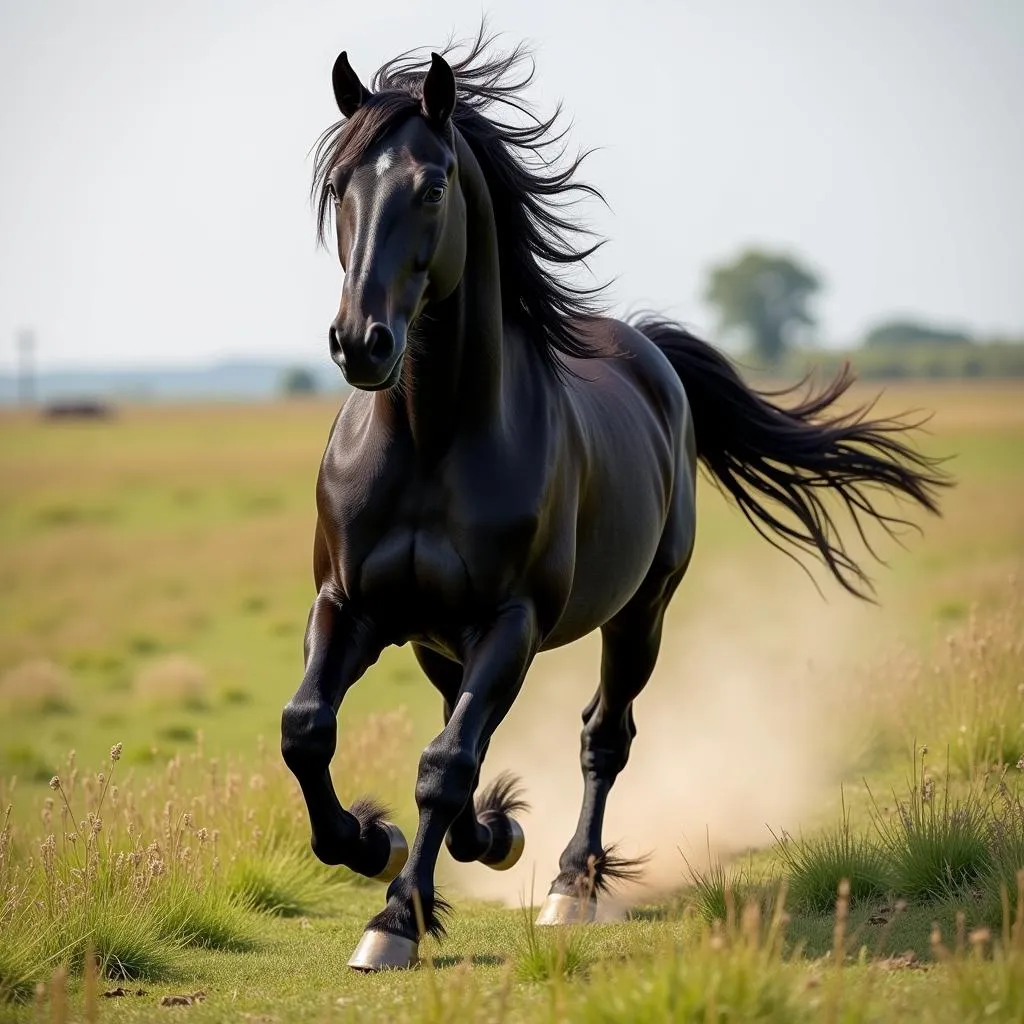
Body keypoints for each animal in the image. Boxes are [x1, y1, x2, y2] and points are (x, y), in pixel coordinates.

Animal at [280, 34, 942, 966]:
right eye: (341, 187)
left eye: (433, 186)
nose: (361, 344)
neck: (432, 438)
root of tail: (650, 354)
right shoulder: (351, 605)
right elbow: (311, 730)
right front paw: (378, 844)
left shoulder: (512, 622)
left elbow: (446, 765)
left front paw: (395, 920)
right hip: (440, 639)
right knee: (465, 724)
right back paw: (495, 839)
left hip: (640, 614)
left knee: (602, 736)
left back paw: (570, 884)